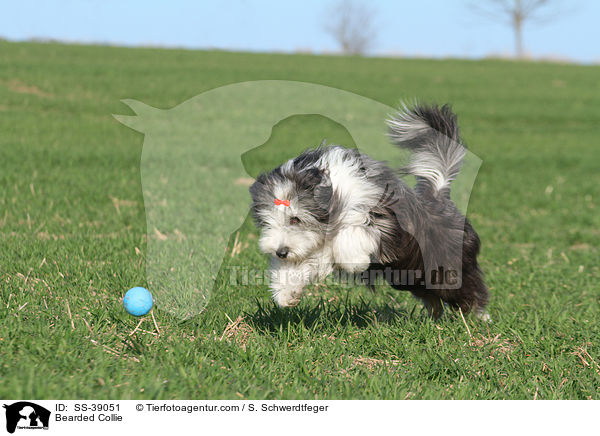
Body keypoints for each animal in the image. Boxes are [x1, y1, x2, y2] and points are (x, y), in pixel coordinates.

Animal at [248, 103, 488, 318]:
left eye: (295, 219)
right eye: (267, 222)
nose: (281, 251)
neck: (333, 193)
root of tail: (438, 197)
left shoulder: (383, 217)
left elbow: (355, 231)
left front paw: (354, 259)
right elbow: (298, 264)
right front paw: (286, 294)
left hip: (446, 269)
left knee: (468, 290)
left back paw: (478, 318)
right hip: (411, 276)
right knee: (432, 296)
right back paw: (432, 317)